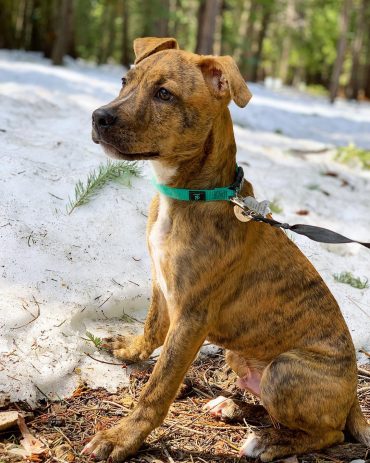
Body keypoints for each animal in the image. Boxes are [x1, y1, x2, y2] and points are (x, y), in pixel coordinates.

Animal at [82, 38, 368, 462]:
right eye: (124, 80)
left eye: (164, 94)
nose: (99, 117)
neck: (191, 194)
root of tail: (353, 399)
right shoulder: (161, 285)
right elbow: (151, 329)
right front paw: (128, 349)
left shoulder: (192, 317)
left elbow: (159, 386)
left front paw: (122, 437)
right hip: (242, 357)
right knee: (269, 405)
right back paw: (232, 406)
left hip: (286, 369)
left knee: (328, 432)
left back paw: (269, 442)